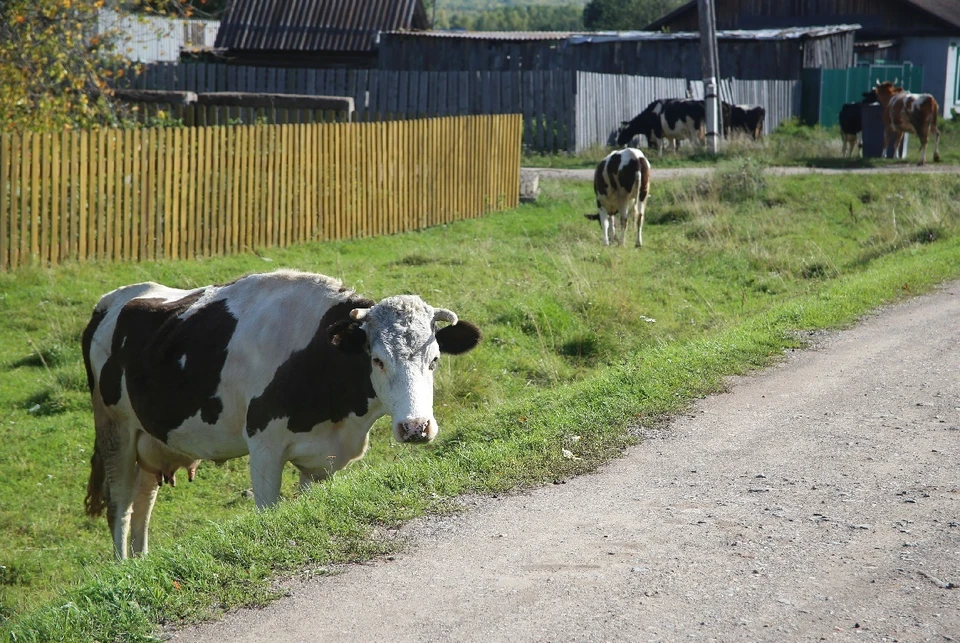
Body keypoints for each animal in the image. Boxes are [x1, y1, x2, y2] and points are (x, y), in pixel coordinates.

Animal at [82, 270, 480, 560]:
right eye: (378, 360)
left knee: (143, 501)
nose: (416, 427)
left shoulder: (323, 459)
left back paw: (141, 563)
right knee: (120, 507)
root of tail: (111, 299)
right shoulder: (264, 450)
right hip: (114, 429)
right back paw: (124, 567)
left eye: (435, 359)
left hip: (149, 437)